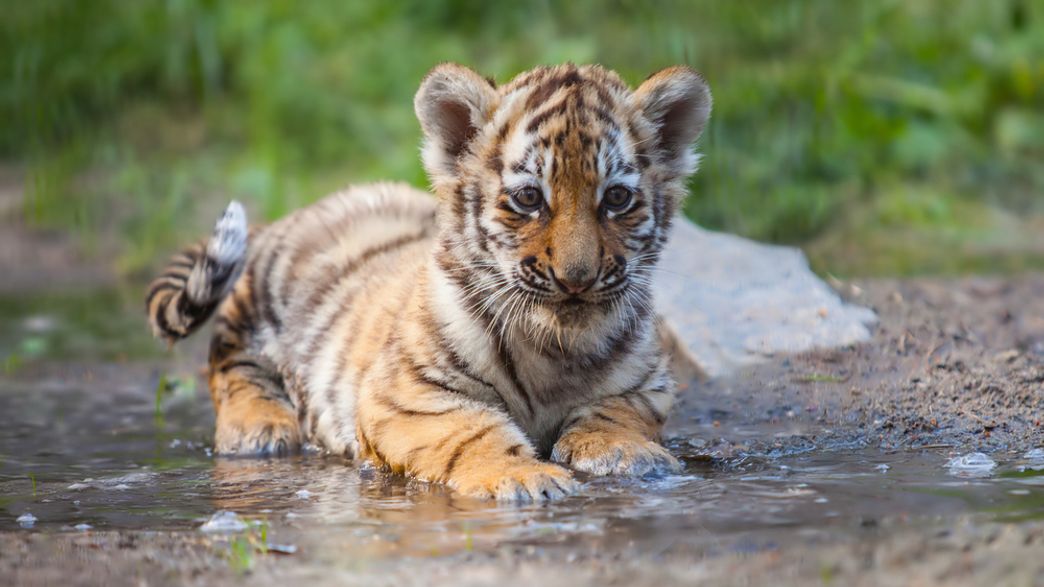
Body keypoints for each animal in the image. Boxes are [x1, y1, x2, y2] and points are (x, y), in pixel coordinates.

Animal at [145, 63, 711, 501]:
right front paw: (526, 477)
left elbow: (614, 412)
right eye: (529, 198)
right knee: (229, 362)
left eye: (616, 198)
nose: (577, 279)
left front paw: (630, 455)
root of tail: (302, 210)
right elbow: (472, 433)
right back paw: (259, 428)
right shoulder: (408, 395)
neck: (556, 346)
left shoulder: (647, 384)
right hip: (256, 304)